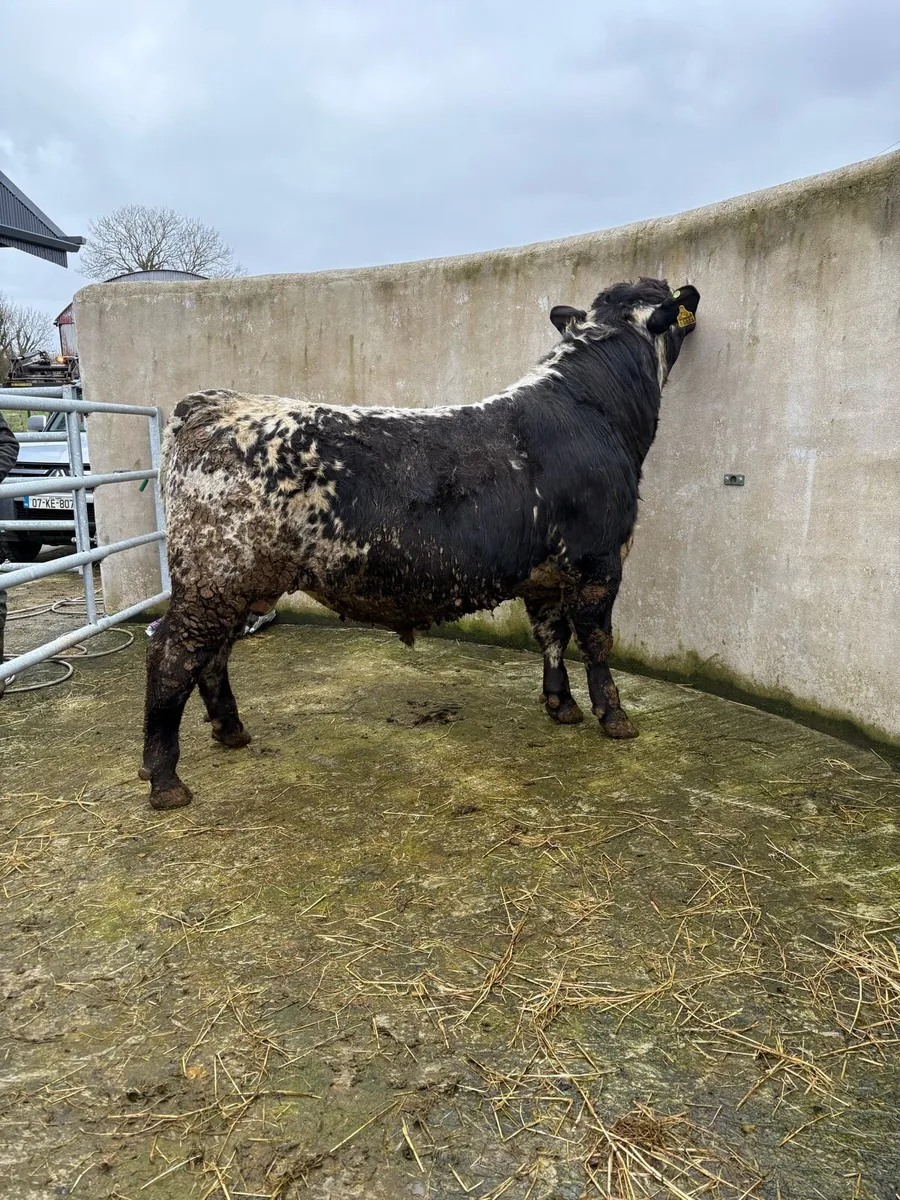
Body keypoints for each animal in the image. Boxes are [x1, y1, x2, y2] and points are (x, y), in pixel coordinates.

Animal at [140, 277, 700, 810]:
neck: (594, 411)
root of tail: (212, 403)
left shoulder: (546, 575)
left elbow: (553, 637)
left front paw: (561, 706)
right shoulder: (599, 558)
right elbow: (597, 640)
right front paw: (614, 716)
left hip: (234, 586)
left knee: (214, 654)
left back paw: (230, 730)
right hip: (215, 577)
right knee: (172, 654)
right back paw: (165, 779)